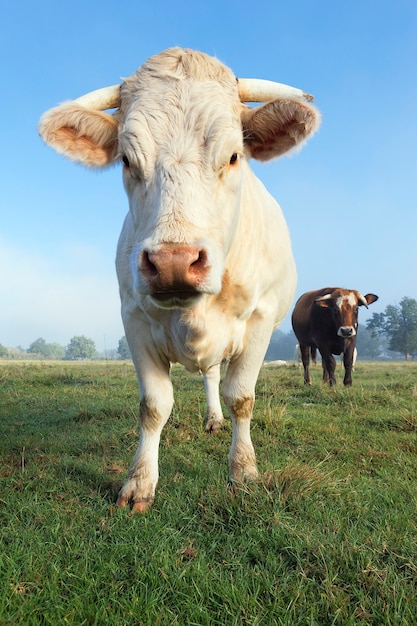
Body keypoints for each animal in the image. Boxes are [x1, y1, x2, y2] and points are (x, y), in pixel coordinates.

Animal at [39, 47, 318, 508]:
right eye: (127, 160)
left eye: (233, 156)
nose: (173, 262)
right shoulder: (133, 318)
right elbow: (153, 405)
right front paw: (139, 483)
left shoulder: (260, 321)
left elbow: (241, 397)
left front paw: (243, 470)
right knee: (209, 375)